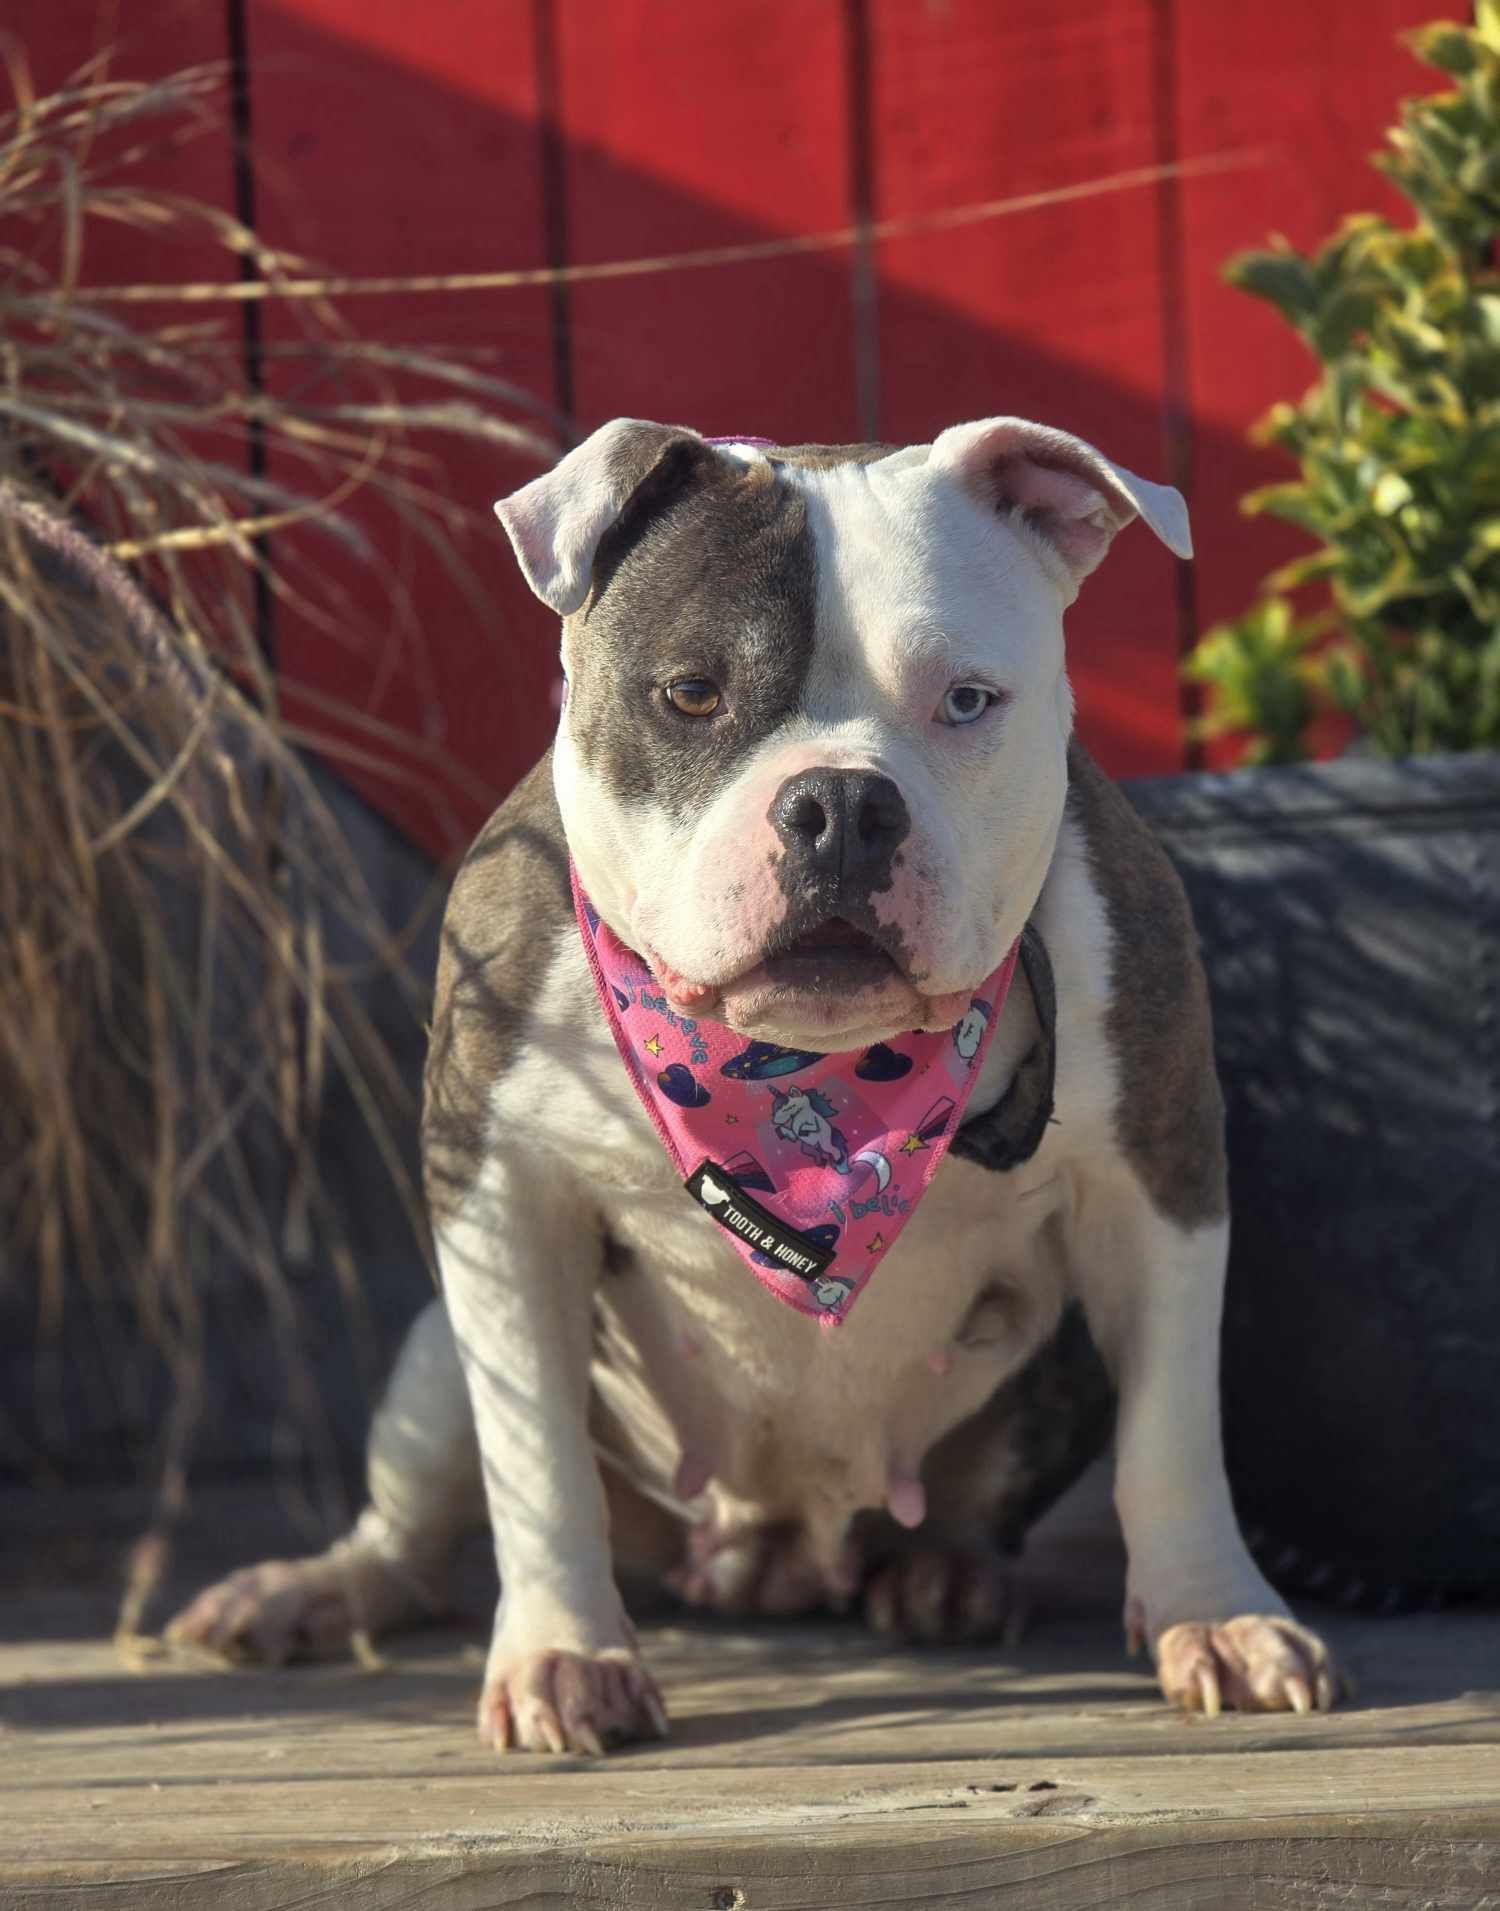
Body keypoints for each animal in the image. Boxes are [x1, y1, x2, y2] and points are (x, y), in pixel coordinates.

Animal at [172, 414, 1337, 1750]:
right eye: (690, 693)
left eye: (968, 701)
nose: (840, 803)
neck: (812, 1075)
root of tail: (776, 1555)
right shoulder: (498, 1198)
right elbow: (537, 1465)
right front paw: (564, 1655)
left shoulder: (1159, 1181)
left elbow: (1175, 1438)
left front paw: (1219, 1617)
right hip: (430, 1358)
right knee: (414, 1522)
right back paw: (308, 1591)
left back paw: (947, 1577)